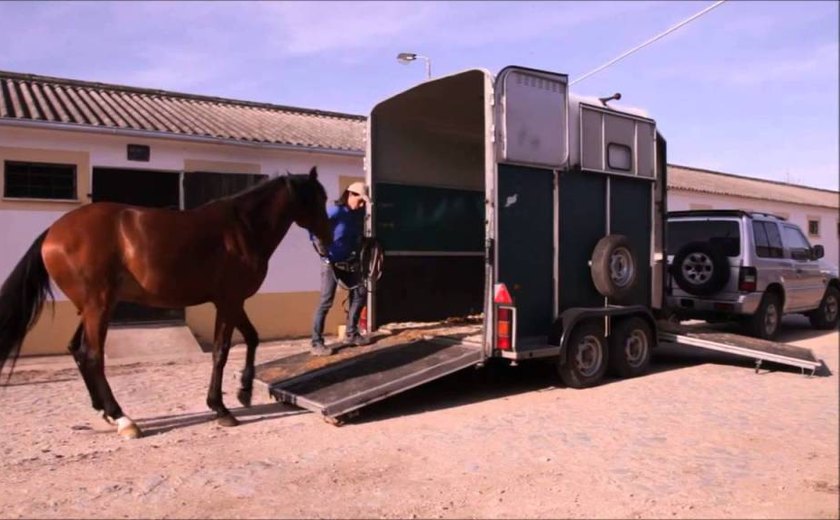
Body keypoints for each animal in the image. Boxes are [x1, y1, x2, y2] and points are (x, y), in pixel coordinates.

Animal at [0, 167, 334, 438]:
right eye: (318, 199)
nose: (328, 238)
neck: (242, 228)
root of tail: (53, 232)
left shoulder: (234, 302)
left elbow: (252, 338)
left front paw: (244, 392)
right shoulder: (227, 302)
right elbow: (221, 351)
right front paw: (221, 408)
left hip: (91, 307)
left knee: (77, 351)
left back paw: (105, 411)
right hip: (99, 306)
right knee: (92, 355)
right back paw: (123, 419)